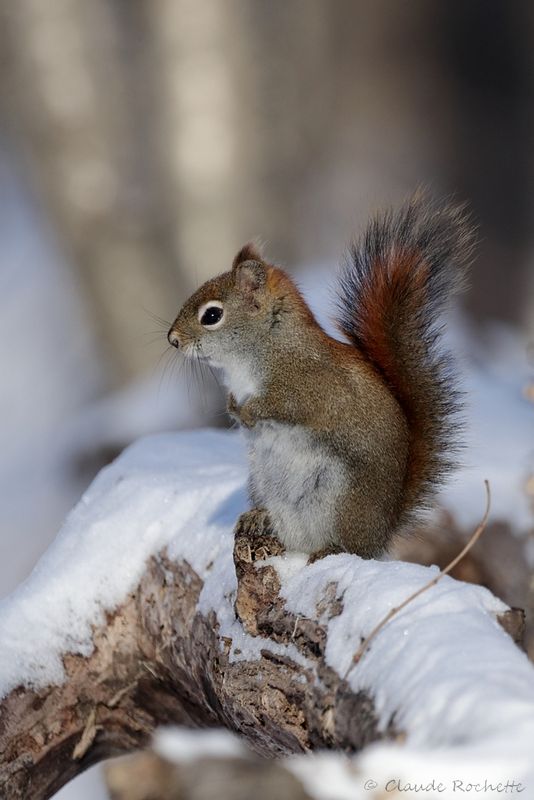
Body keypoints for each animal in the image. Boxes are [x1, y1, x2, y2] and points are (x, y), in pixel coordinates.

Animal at [170, 195, 476, 560]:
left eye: (212, 315)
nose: (172, 339)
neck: (259, 351)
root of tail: (380, 534)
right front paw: (234, 407)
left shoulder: (309, 385)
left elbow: (286, 406)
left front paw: (250, 410)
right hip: (263, 482)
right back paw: (258, 518)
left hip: (342, 500)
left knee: (345, 544)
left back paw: (329, 549)